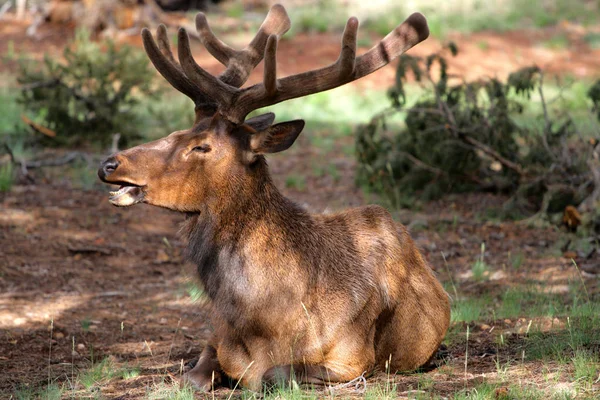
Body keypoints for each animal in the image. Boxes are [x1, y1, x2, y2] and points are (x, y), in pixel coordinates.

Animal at [96, 3, 448, 390]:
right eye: (178, 131)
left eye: (201, 146)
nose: (109, 163)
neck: (267, 321)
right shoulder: (218, 335)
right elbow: (197, 373)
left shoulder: (352, 357)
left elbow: (275, 374)